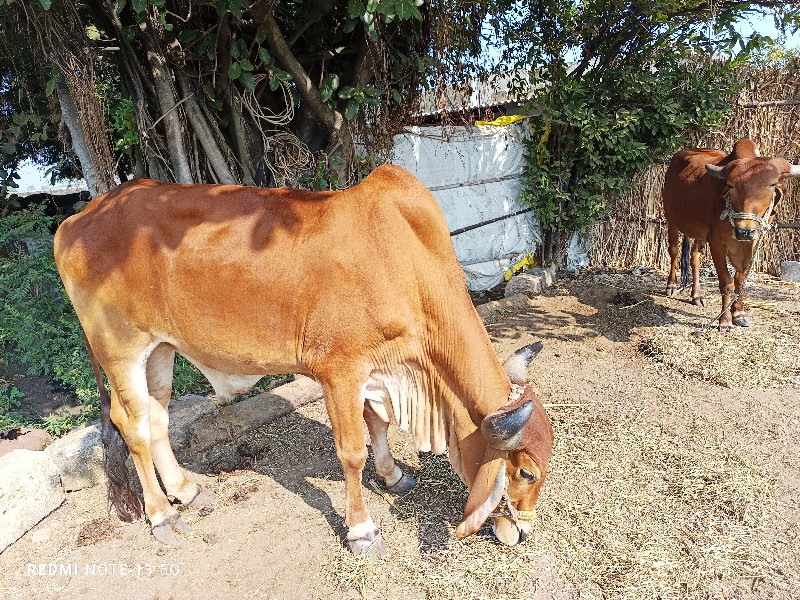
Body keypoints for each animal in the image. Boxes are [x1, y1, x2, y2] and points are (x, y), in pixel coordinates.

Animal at [56, 164, 552, 556]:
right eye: (525, 472)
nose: (523, 532)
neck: (404, 260)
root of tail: (76, 220)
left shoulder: (375, 370)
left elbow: (379, 426)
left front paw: (393, 476)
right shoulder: (338, 370)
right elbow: (352, 451)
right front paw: (362, 531)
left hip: (160, 350)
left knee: (157, 417)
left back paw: (186, 491)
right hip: (120, 349)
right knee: (132, 425)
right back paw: (162, 515)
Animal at [664, 140, 800, 332]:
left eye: (772, 185)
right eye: (730, 185)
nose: (745, 231)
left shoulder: (753, 242)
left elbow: (740, 279)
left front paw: (739, 314)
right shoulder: (717, 242)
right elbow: (726, 282)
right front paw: (725, 321)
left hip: (700, 232)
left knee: (695, 257)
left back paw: (697, 295)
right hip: (671, 219)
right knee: (674, 251)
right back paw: (671, 285)